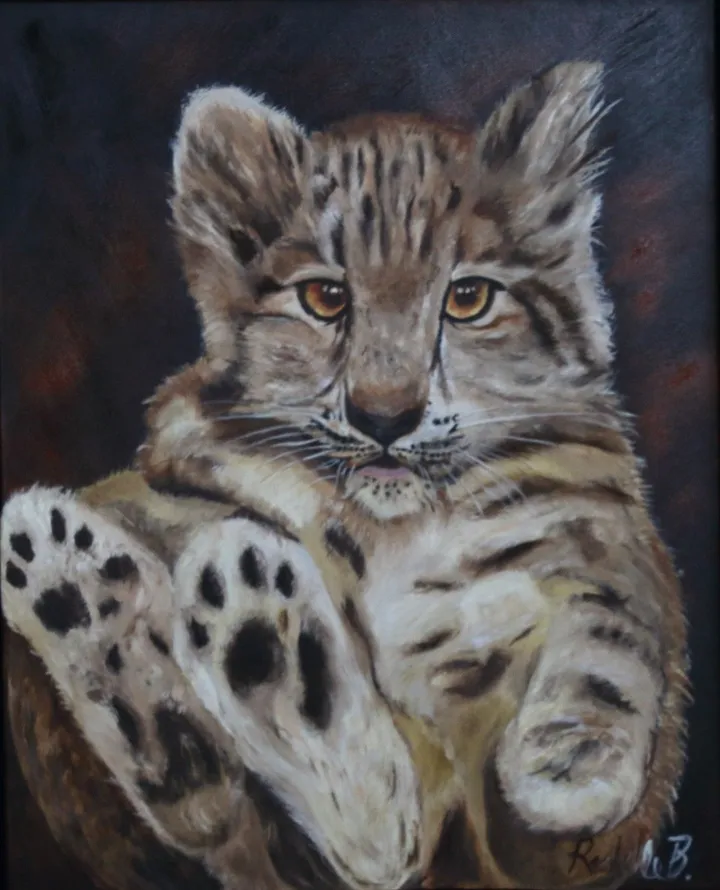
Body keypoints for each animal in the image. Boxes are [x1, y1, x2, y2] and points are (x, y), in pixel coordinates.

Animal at [1, 61, 689, 890]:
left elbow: (609, 625)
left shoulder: (596, 527)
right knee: (247, 820)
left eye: (468, 297)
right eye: (324, 296)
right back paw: (108, 584)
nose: (384, 415)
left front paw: (568, 764)